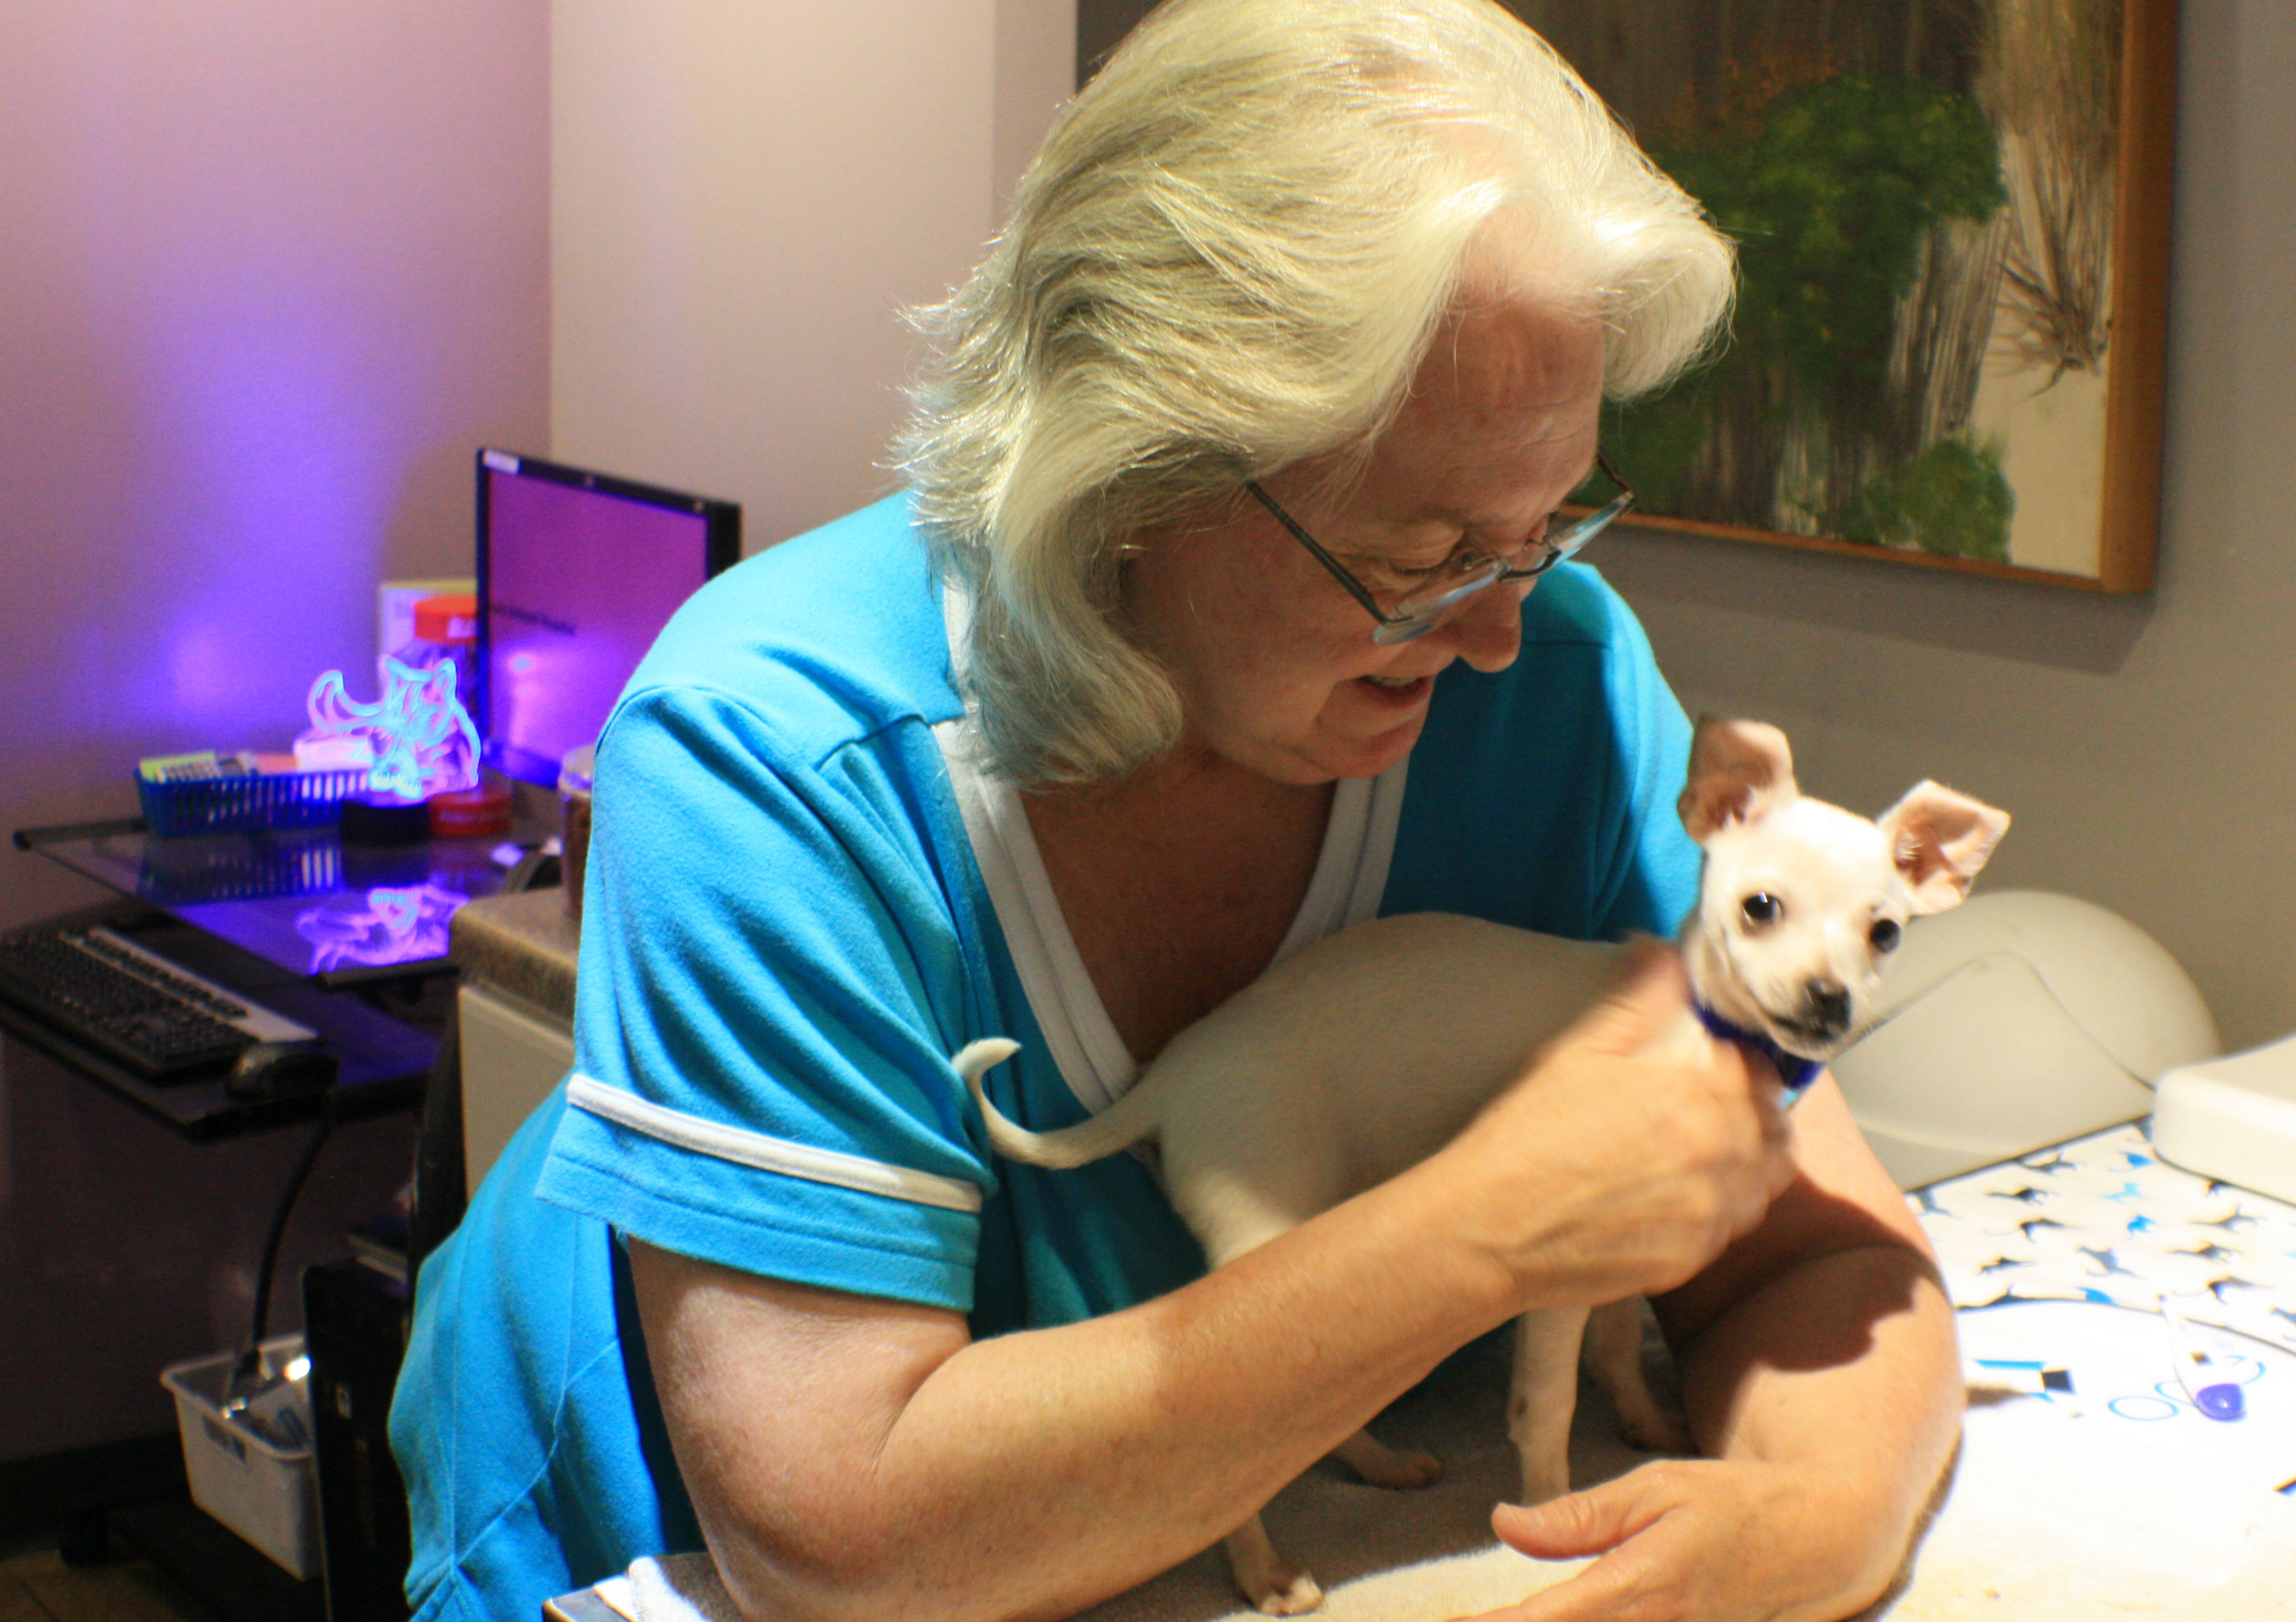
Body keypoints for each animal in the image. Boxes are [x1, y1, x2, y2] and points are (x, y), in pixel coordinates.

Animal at [959, 717, 2002, 1608]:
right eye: (1759, 908)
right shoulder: (1561, 1277)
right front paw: (1549, 1520)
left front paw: (1647, 1425)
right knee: (1237, 1461)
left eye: (1884, 931)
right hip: (1266, 1229)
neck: (1699, 1033)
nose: (1828, 1000)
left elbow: (1615, 1347)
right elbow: (1546, 1407)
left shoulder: (1632, 1253)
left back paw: (1381, 1466)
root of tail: (1171, 1076)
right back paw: (1263, 1570)